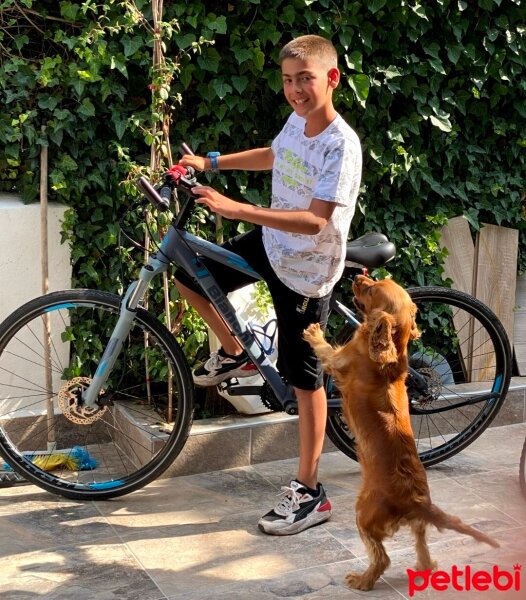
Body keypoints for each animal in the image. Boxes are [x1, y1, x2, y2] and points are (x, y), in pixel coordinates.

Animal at [304, 276, 502, 592]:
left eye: (371, 288)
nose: (357, 277)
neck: (392, 349)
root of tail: (418, 502)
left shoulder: (339, 361)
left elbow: (325, 349)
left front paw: (313, 331)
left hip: (364, 514)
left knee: (381, 558)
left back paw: (361, 580)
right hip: (416, 525)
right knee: (422, 546)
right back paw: (424, 567)